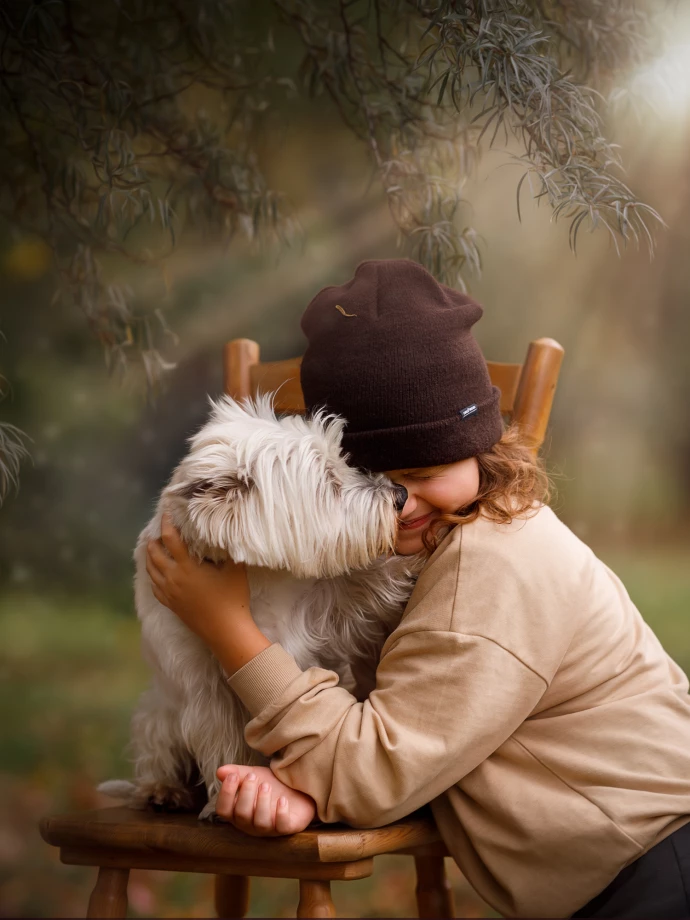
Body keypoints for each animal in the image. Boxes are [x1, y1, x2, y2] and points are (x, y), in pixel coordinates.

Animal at [101, 396, 424, 820]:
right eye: (329, 482)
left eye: (342, 463)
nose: (400, 495)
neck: (258, 582)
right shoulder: (207, 686)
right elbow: (223, 739)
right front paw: (224, 799)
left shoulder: (328, 614)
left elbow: (365, 587)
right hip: (160, 711)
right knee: (157, 749)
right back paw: (162, 790)